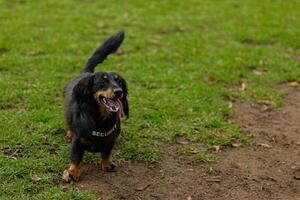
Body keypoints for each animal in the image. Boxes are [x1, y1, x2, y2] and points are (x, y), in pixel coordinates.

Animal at [62, 30, 128, 182]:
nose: (119, 92)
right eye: (102, 82)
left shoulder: (109, 142)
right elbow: (76, 157)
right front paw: (73, 172)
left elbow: (106, 152)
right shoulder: (78, 142)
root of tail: (86, 72)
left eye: (119, 82)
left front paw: (106, 164)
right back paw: (69, 133)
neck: (100, 121)